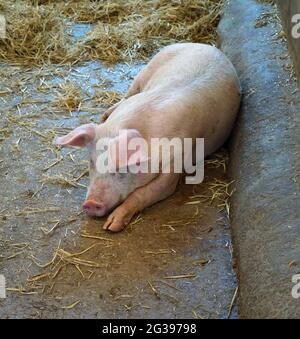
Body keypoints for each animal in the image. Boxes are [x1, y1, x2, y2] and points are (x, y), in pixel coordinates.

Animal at [54, 43, 241, 234]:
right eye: (92, 162)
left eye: (121, 167)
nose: (91, 203)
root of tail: (202, 45)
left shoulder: (175, 164)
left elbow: (146, 193)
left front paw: (111, 226)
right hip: (145, 72)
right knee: (125, 96)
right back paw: (104, 115)